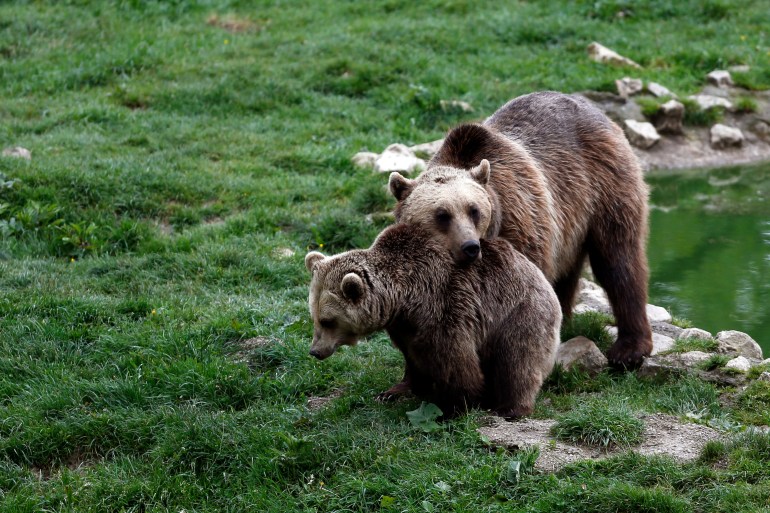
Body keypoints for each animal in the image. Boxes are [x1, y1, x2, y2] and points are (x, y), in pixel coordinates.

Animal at [304, 222, 560, 418]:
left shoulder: (445, 305)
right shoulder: (404, 325)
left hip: (519, 313)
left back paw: (509, 408)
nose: (315, 351)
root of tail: (546, 283)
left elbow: (454, 360)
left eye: (328, 320)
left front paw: (451, 407)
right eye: (314, 316)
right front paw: (394, 391)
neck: (404, 297)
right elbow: (413, 357)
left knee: (517, 360)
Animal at [390, 91, 648, 368]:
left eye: (474, 210)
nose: (470, 247)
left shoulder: (521, 224)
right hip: (569, 225)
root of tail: (593, 107)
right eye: (442, 215)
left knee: (617, 261)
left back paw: (629, 348)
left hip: (604, 187)